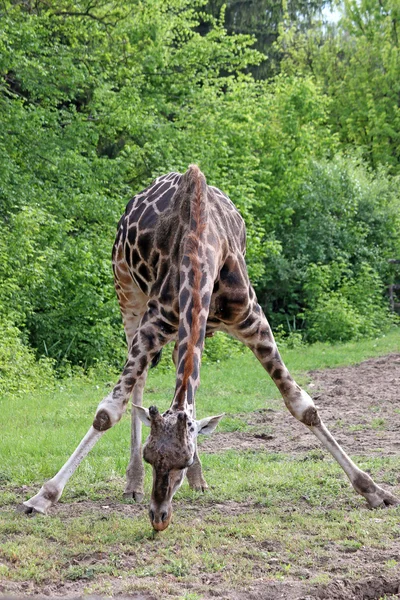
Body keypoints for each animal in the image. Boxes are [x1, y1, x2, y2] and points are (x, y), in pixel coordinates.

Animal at [23, 164, 398, 528]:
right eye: (150, 455)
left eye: (185, 460)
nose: (159, 517)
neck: (200, 249)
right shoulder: (154, 322)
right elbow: (107, 411)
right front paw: (43, 496)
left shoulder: (252, 320)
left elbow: (302, 405)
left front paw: (374, 490)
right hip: (126, 292)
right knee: (140, 384)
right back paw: (133, 483)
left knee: (182, 373)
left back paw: (200, 481)